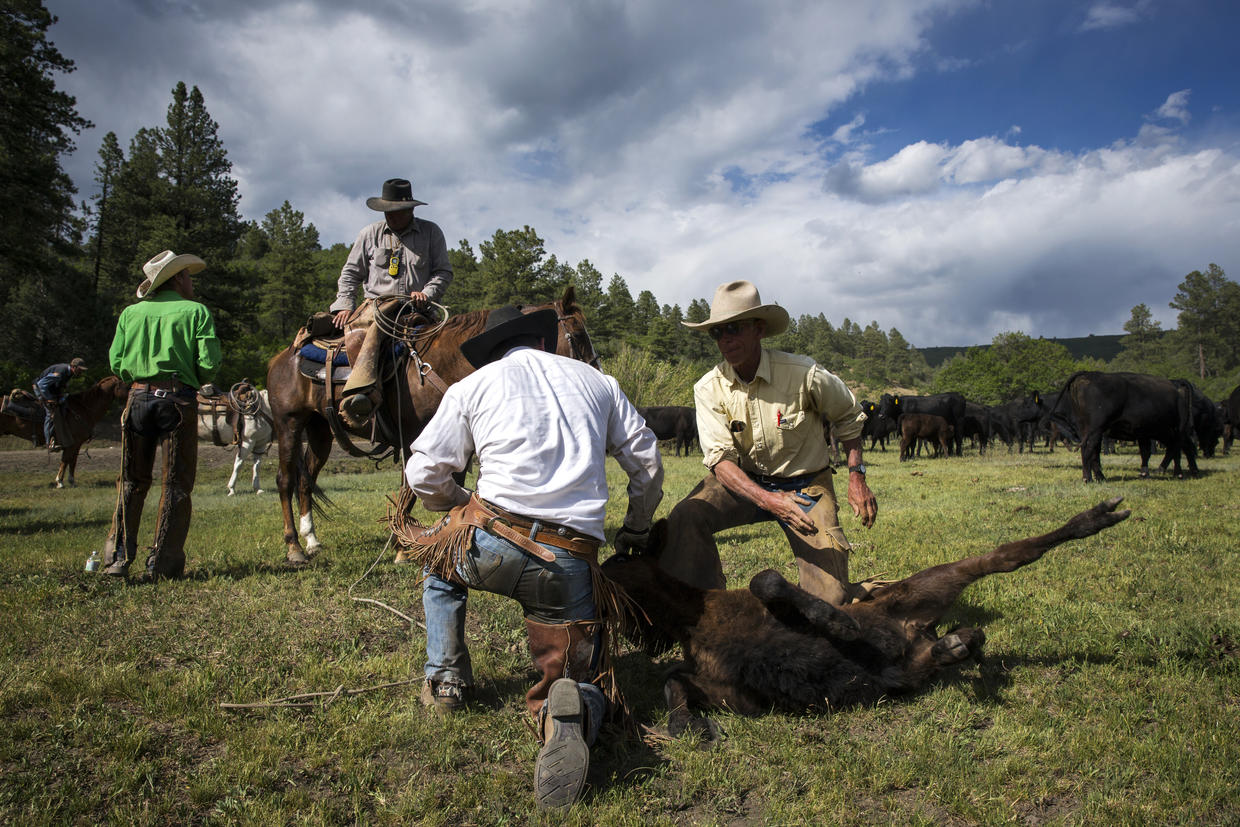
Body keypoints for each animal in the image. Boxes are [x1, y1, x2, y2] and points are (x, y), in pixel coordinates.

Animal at [0, 379, 129, 488]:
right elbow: (65, 460)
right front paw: (59, 482)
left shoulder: (77, 444)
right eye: (125, 386)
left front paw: (71, 481)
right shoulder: (71, 442)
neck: (83, 409)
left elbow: (73, 461)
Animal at [267, 285, 600, 562]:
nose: (597, 374)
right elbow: (408, 491)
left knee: (305, 481)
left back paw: (311, 540)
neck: (439, 365)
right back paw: (294, 547)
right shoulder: (414, 441)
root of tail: (281, 358)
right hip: (288, 424)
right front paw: (402, 548)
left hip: (320, 431)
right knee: (285, 480)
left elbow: (450, 489)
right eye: (578, 336)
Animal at [600, 498, 1135, 738]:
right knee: (945, 650)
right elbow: (674, 681)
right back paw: (956, 646)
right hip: (916, 654)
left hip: (929, 585)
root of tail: (918, 630)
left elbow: (767, 580)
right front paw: (688, 726)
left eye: (618, 564)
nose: (633, 634)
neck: (697, 620)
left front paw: (838, 623)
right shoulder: (733, 693)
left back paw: (1094, 519)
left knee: (1009, 555)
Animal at [1051, 369, 1195, 481]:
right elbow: (1172, 449)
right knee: (1089, 450)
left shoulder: (1143, 433)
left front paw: (1145, 473)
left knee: (1090, 451)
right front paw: (1168, 471)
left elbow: (1146, 452)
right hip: (1095, 431)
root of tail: (1087, 375)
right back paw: (1089, 478)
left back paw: (1099, 477)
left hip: (1088, 430)